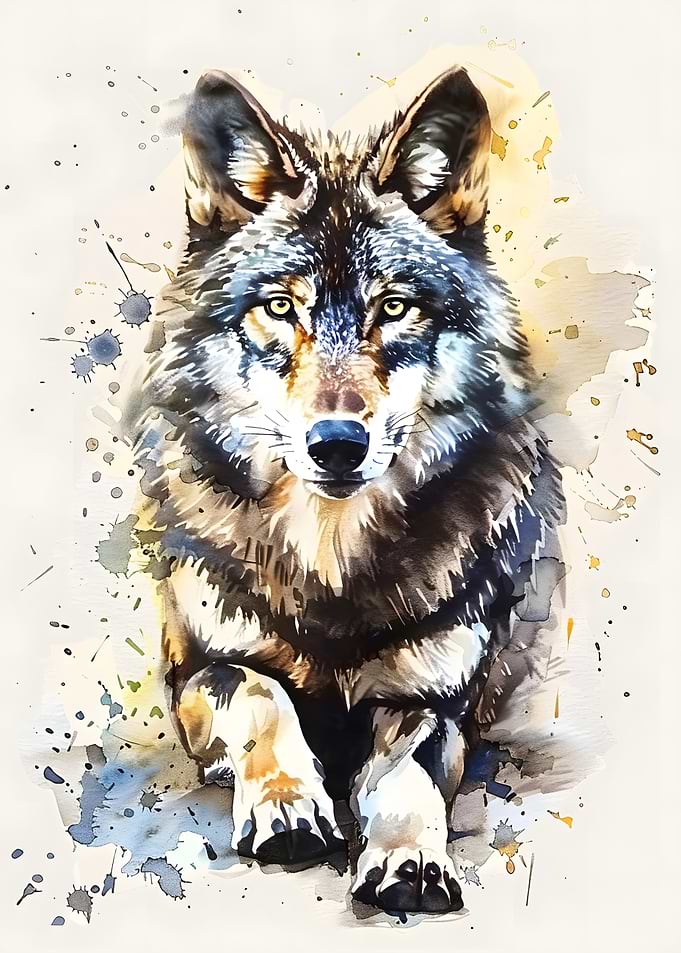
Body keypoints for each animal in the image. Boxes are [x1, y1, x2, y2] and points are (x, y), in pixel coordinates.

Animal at [125, 66, 565, 914]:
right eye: (280, 306)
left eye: (392, 307)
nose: (336, 443)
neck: (329, 565)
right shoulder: (200, 669)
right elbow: (262, 697)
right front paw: (288, 805)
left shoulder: (434, 701)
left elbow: (407, 781)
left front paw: (408, 859)